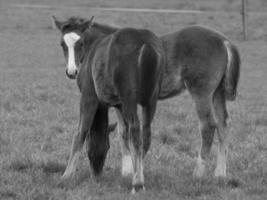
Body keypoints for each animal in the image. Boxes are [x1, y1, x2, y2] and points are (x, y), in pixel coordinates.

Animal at [52, 16, 165, 192]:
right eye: (62, 44)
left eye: (81, 43)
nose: (71, 72)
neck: (93, 47)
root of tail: (146, 44)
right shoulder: (118, 105)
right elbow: (123, 132)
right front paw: (128, 170)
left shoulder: (89, 95)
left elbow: (81, 132)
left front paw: (66, 176)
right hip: (150, 101)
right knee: (146, 133)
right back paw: (138, 174)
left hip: (129, 99)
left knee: (136, 130)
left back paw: (137, 183)